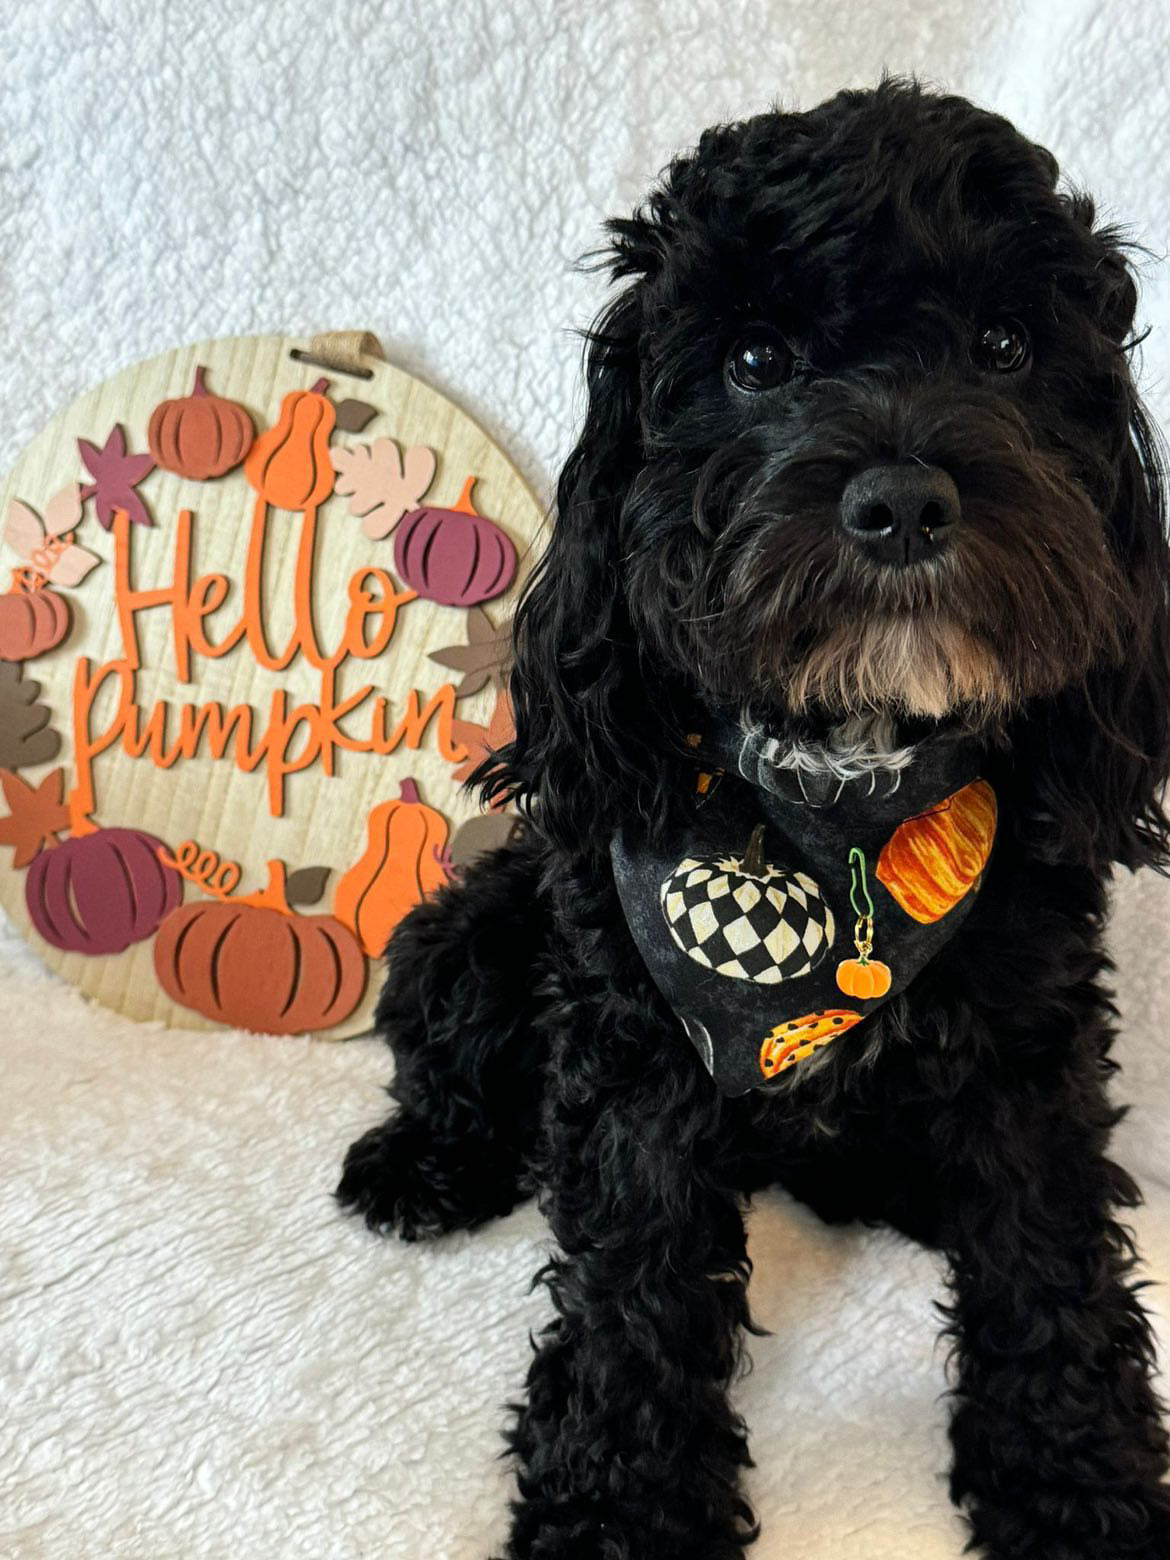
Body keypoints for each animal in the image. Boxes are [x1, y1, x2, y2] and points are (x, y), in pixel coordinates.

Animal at [336, 79, 1170, 1553]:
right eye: (753, 361)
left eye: (1007, 346)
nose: (900, 501)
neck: (842, 806)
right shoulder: (636, 1045)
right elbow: (636, 1280)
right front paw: (618, 1504)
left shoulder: (1034, 1030)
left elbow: (1047, 1251)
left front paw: (1077, 1477)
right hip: (476, 930)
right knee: (450, 1056)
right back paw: (423, 1161)